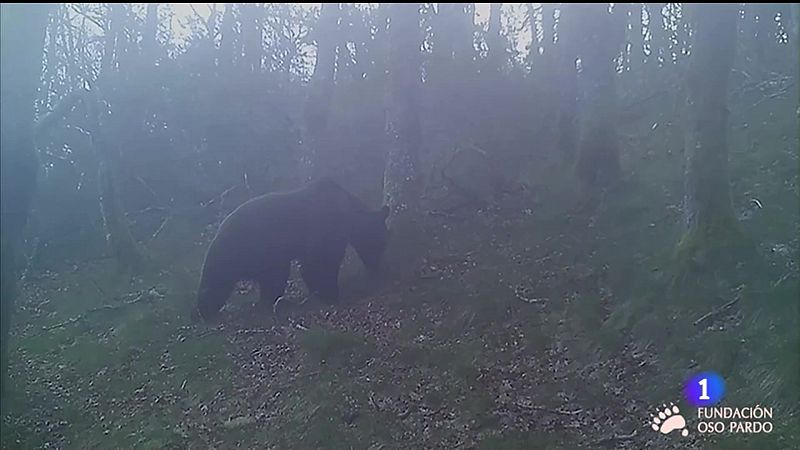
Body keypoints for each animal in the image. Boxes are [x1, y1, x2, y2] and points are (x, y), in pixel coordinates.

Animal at [197, 178, 390, 322]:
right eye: (381, 243)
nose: (377, 266)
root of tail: (218, 231)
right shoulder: (323, 227)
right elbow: (320, 262)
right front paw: (330, 295)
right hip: (240, 250)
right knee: (216, 283)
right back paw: (203, 313)